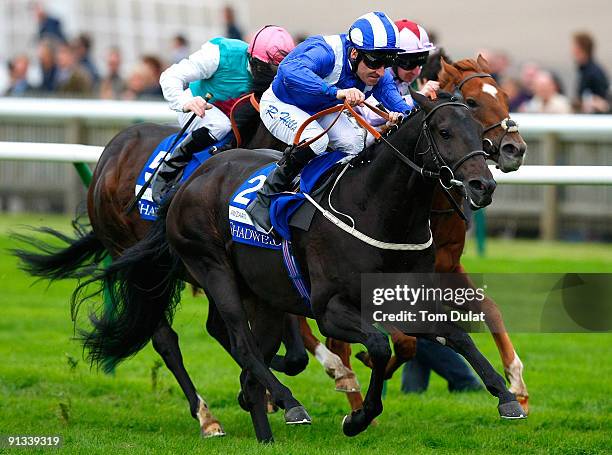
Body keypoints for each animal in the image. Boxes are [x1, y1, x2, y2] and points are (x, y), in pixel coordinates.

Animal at [75, 91, 524, 444]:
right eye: (445, 132)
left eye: (476, 130)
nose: (484, 185)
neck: (375, 209)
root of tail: (191, 178)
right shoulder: (329, 309)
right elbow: (378, 346)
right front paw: (357, 416)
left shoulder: (406, 297)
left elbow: (455, 334)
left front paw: (507, 395)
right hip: (210, 269)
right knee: (224, 342)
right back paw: (272, 405)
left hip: (261, 296)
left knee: (248, 350)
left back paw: (262, 424)